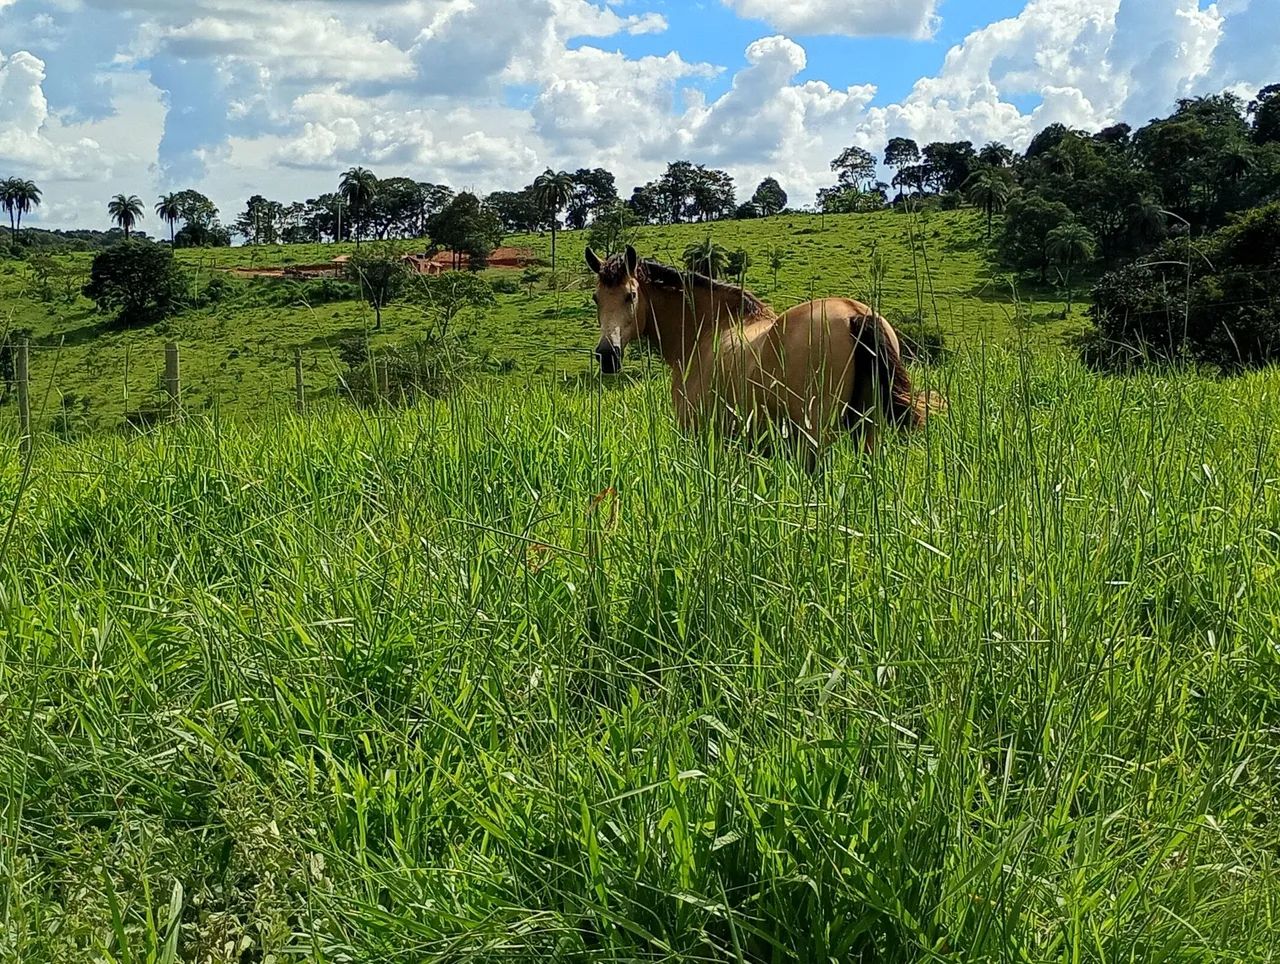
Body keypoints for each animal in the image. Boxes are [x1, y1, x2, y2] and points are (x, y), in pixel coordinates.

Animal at [585, 245, 944, 462]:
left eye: (631, 296)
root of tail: (854, 313)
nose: (607, 355)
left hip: (816, 437)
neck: (705, 331)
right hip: (867, 433)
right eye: (596, 298)